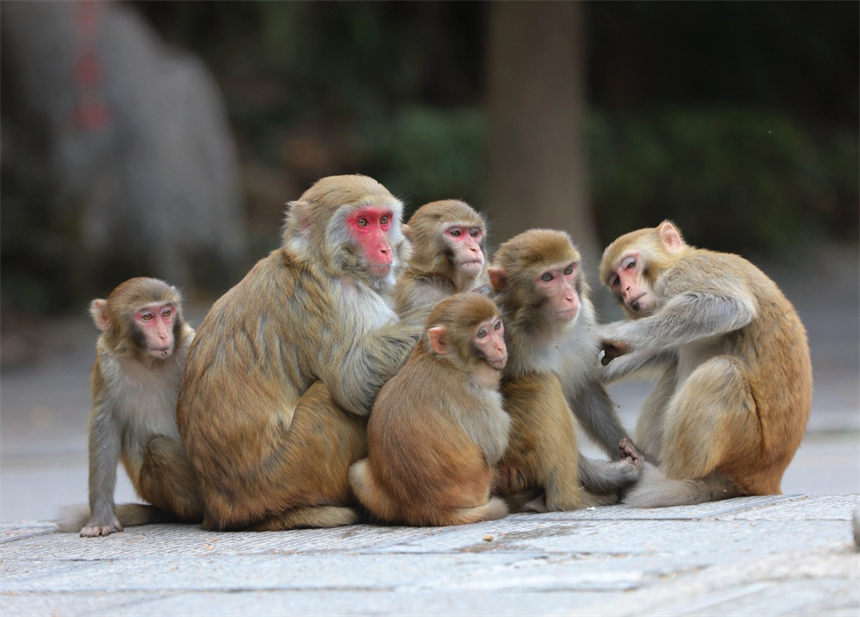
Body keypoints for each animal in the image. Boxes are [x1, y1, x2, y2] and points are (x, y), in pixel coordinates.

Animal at [63, 276, 201, 536]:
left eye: (166, 313)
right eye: (147, 317)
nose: (163, 335)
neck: (148, 361)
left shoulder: (190, 344)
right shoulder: (107, 362)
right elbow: (105, 425)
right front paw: (101, 518)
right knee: (158, 447)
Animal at [179, 174, 430, 528]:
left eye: (384, 220)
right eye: (362, 222)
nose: (384, 249)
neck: (319, 261)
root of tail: (223, 508)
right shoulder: (333, 297)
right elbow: (354, 380)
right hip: (291, 468)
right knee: (328, 396)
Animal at [350, 294, 510, 524]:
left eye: (497, 326)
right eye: (482, 334)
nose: (500, 348)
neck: (440, 359)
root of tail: (431, 511)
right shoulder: (474, 393)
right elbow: (494, 449)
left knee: (356, 473)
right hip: (481, 485)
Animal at [488, 229, 640, 508]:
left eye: (568, 270)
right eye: (547, 278)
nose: (570, 296)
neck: (545, 328)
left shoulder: (582, 320)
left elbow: (583, 391)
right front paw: (604, 476)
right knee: (540, 384)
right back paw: (567, 498)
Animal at [596, 221, 812, 506]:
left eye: (630, 265)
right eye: (615, 281)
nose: (626, 290)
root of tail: (766, 479)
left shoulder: (682, 275)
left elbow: (729, 306)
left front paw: (611, 333)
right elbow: (667, 351)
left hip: (747, 448)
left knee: (720, 372)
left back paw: (665, 476)